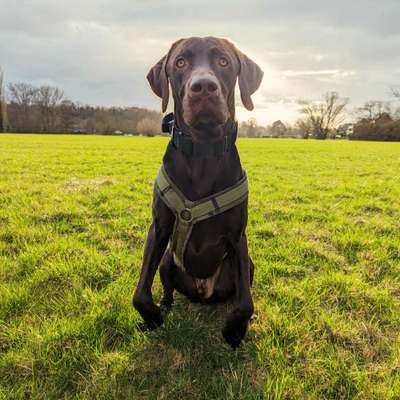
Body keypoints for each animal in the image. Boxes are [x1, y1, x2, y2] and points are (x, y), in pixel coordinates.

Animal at [134, 38, 264, 350]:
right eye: (180, 62)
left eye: (224, 62)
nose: (203, 86)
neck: (203, 149)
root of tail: (203, 292)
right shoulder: (159, 228)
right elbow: (140, 293)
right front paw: (152, 318)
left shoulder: (237, 236)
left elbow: (245, 302)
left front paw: (234, 331)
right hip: (168, 261)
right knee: (168, 288)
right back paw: (165, 306)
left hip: (248, 266)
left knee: (237, 294)